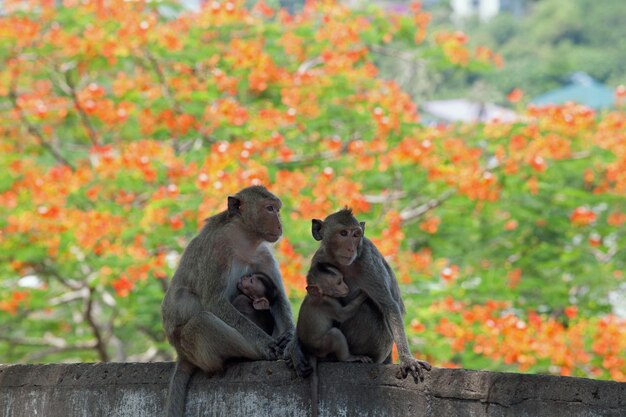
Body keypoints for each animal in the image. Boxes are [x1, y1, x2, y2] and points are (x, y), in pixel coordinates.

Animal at [162, 186, 296, 416]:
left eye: (277, 209)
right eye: (270, 209)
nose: (280, 224)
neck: (244, 239)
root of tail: (181, 354)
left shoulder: (263, 254)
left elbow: (278, 300)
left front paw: (289, 339)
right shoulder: (217, 250)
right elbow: (214, 302)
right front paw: (266, 344)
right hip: (191, 347)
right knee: (202, 321)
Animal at [292, 208, 432, 384]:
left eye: (356, 234)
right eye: (343, 233)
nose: (351, 248)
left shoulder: (368, 262)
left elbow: (389, 306)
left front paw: (408, 360)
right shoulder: (318, 258)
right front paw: (295, 350)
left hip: (380, 346)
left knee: (366, 309)